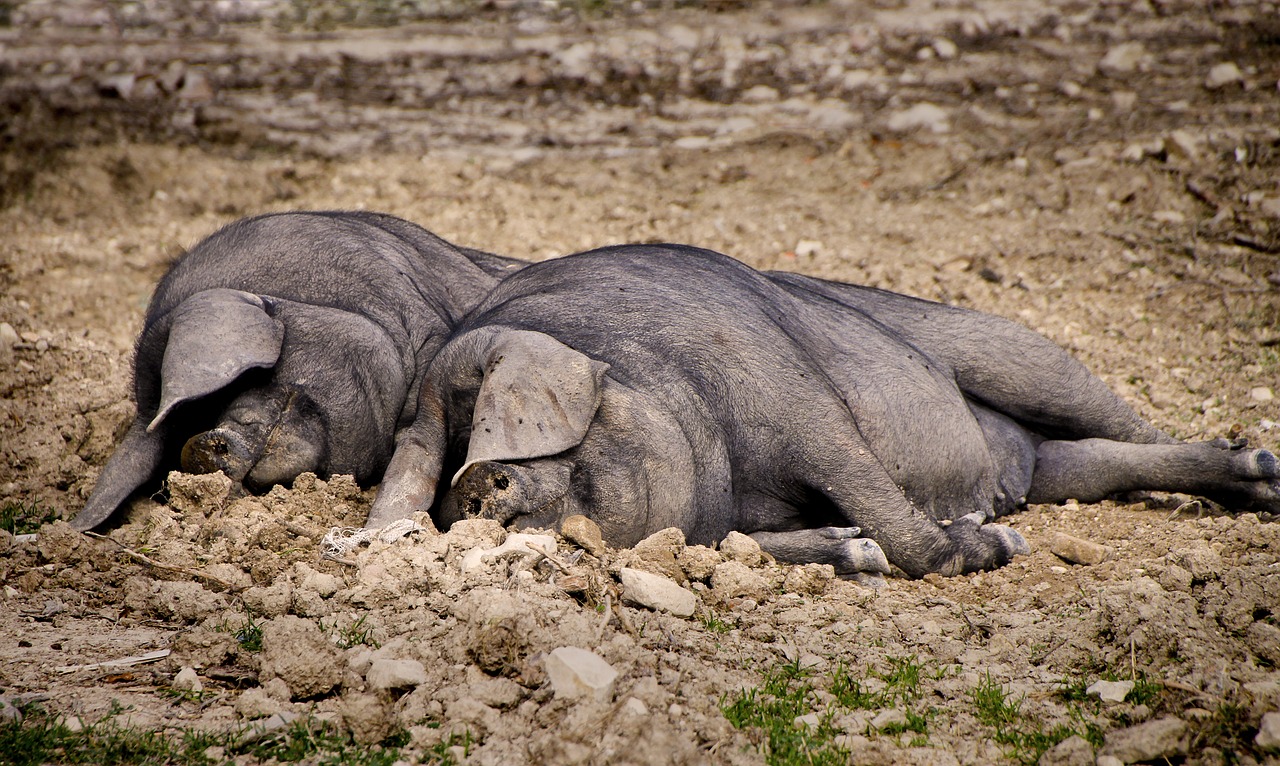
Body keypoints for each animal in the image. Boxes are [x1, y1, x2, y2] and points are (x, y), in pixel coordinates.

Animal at [371, 244, 1280, 576]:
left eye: (494, 424)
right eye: (449, 452)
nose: (474, 488)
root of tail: (1013, 464)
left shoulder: (797, 398)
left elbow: (870, 488)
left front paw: (988, 547)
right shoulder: (720, 522)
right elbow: (762, 542)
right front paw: (855, 549)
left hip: (1012, 348)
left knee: (1128, 424)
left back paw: (1262, 470)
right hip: (1055, 463)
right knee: (1095, 463)